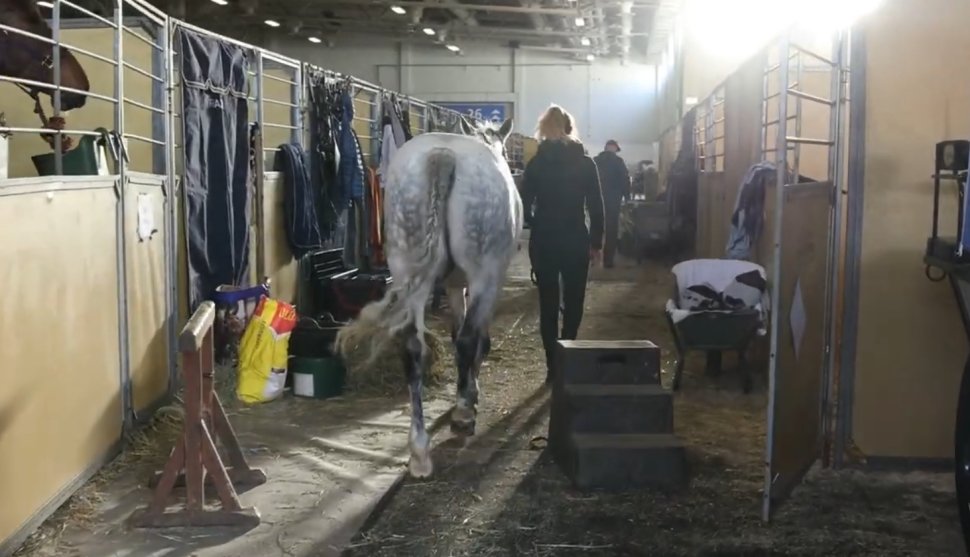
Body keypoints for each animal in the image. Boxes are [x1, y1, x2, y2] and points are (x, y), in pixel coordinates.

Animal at [336, 119, 524, 476]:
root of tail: (442, 155)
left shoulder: (452, 285)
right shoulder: (482, 284)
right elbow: (477, 341)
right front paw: (471, 394)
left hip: (409, 271)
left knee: (412, 346)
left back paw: (419, 450)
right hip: (483, 275)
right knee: (466, 341)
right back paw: (462, 415)